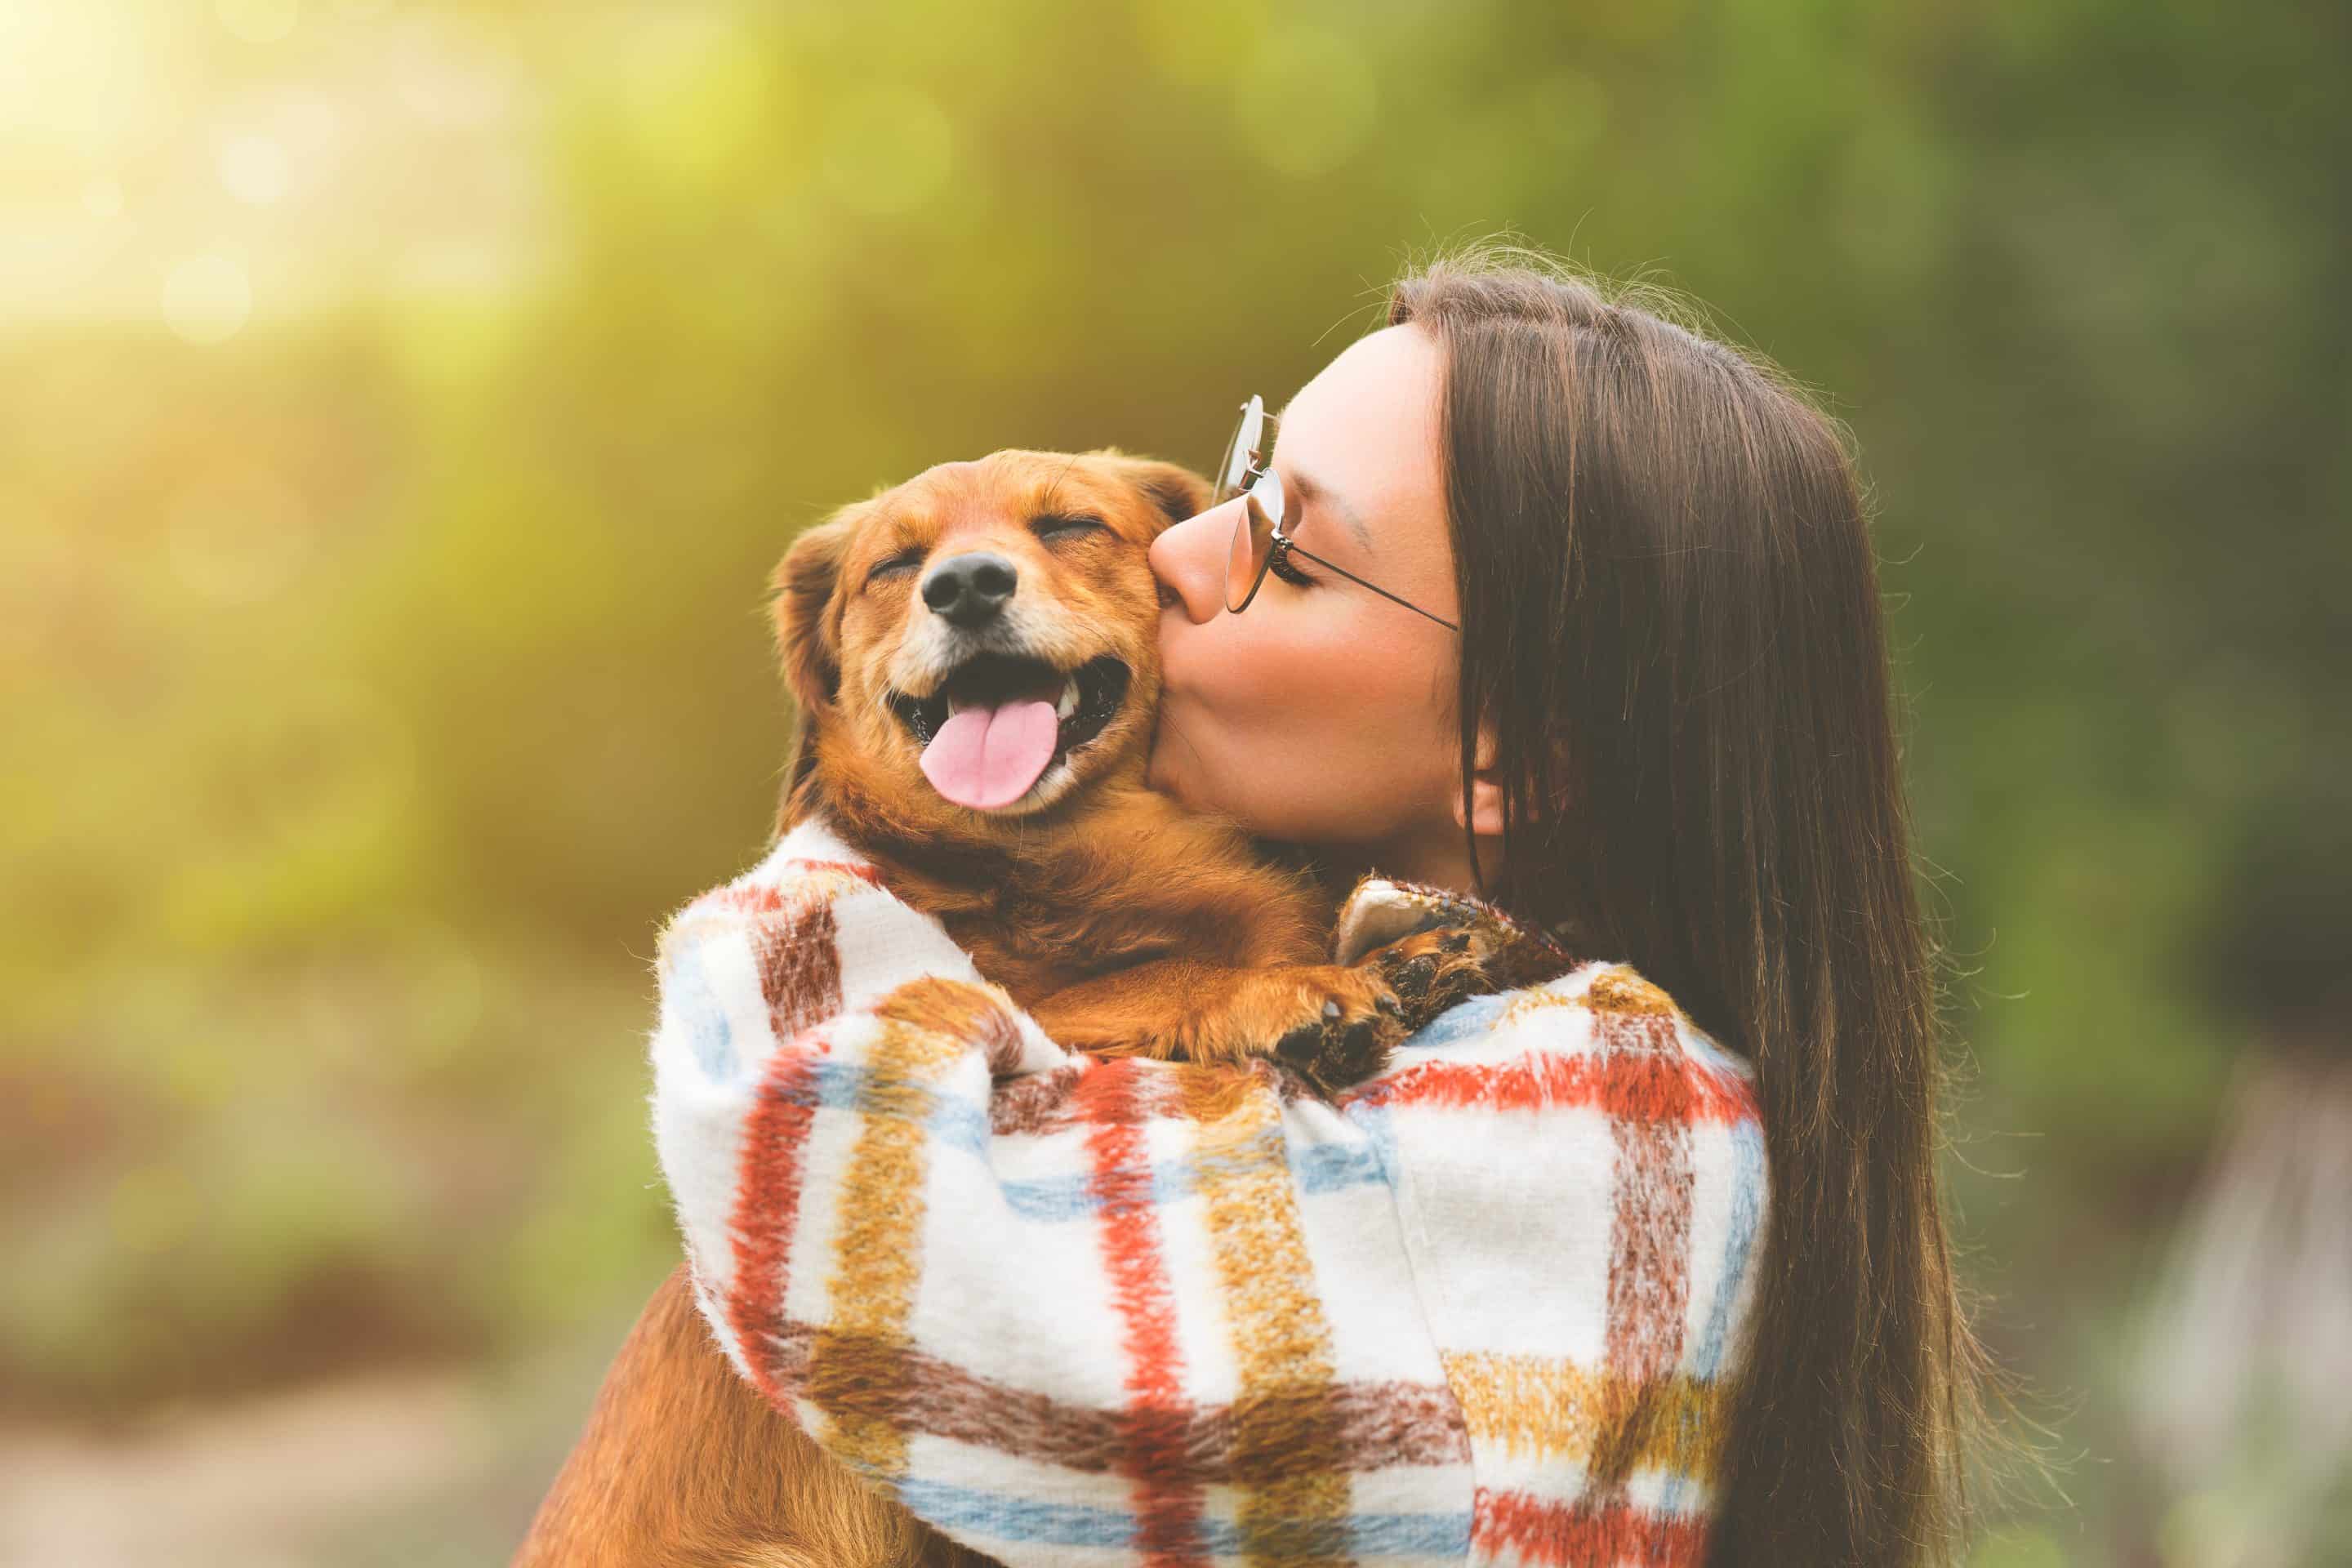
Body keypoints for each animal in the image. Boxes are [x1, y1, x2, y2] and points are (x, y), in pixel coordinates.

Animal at [517, 446, 1486, 1568]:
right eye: (896, 564)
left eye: (1069, 526)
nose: (966, 585)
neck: (1064, 854)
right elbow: (1118, 988)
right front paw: (1285, 990)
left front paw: (1422, 947)